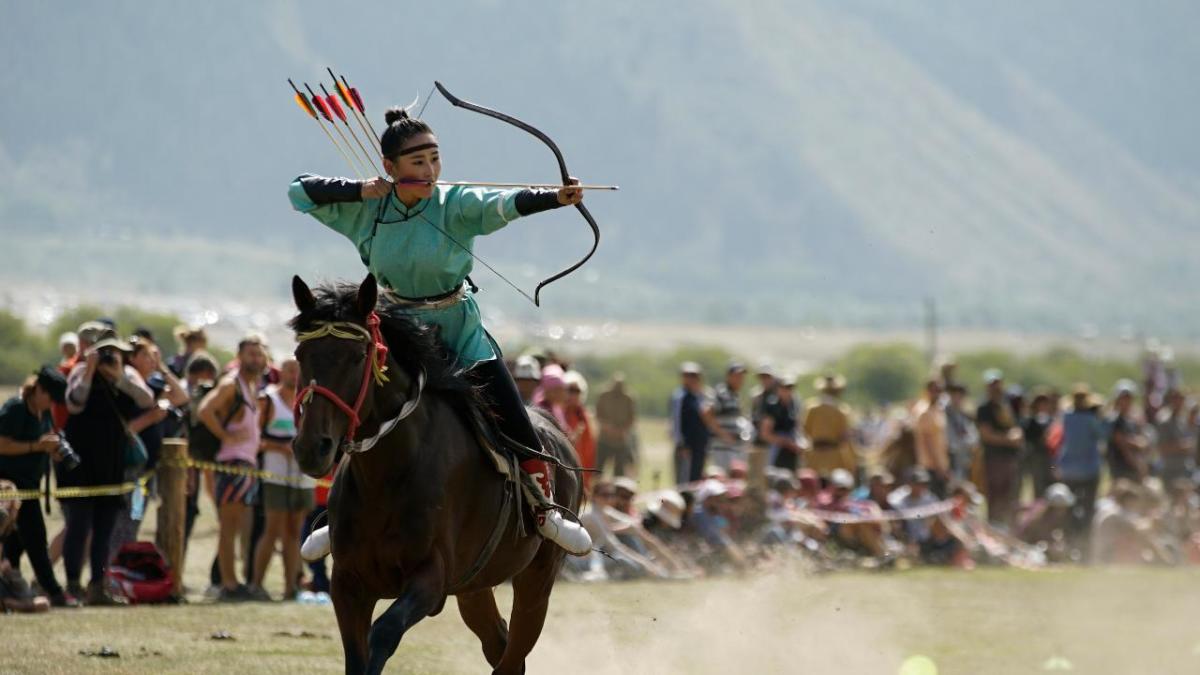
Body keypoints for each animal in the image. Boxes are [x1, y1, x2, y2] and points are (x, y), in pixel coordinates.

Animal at [285, 275, 576, 672]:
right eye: (301, 356)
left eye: (357, 357)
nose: (312, 448)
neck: (387, 475)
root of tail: (557, 433)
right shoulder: (347, 584)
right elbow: (357, 655)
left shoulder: (429, 579)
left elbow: (383, 634)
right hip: (475, 585)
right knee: (497, 641)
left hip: (538, 576)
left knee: (514, 653)